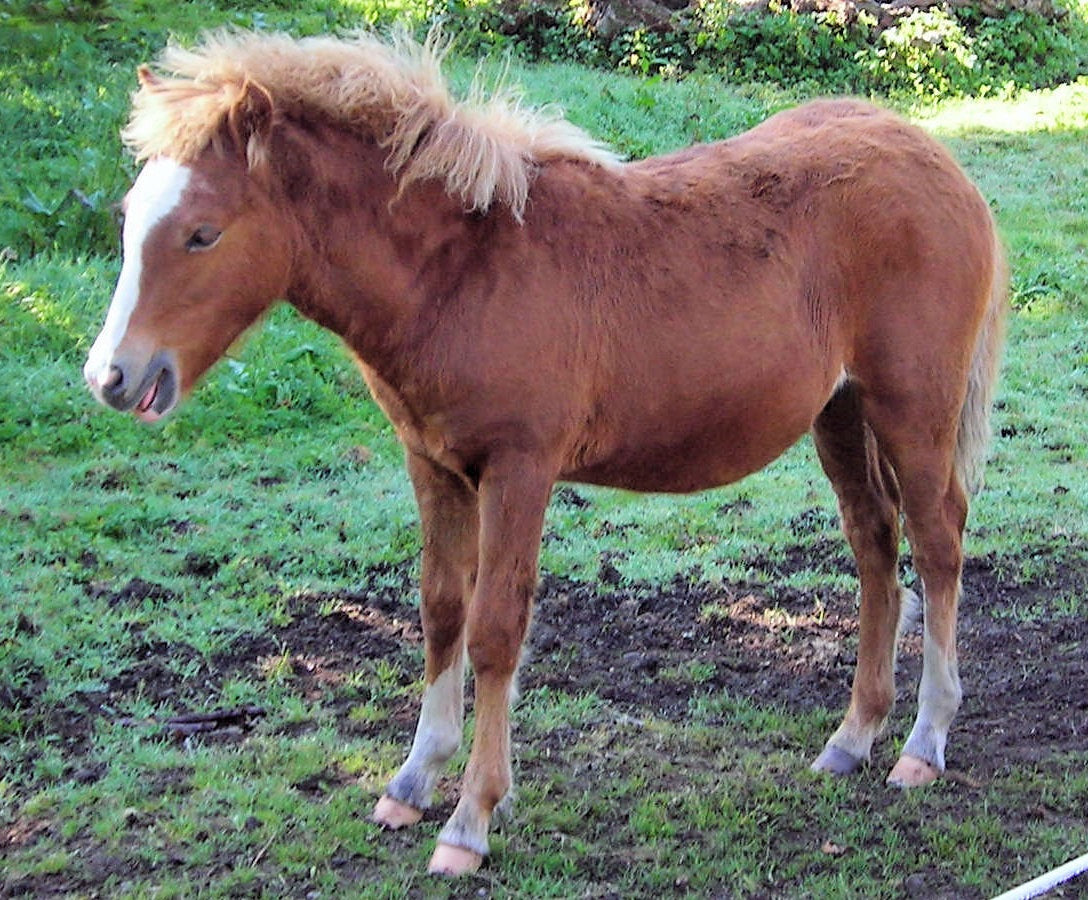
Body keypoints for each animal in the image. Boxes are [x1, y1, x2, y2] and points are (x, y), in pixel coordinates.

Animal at [82, 31, 1000, 874]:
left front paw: (469, 821)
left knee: (938, 544)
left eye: (203, 234)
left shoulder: (519, 469)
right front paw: (411, 782)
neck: (462, 272)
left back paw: (922, 743)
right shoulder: (433, 465)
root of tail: (938, 161)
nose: (111, 376)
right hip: (839, 413)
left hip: (911, 407)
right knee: (875, 546)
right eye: (128, 220)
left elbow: (496, 630)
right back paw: (852, 737)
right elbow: (440, 612)